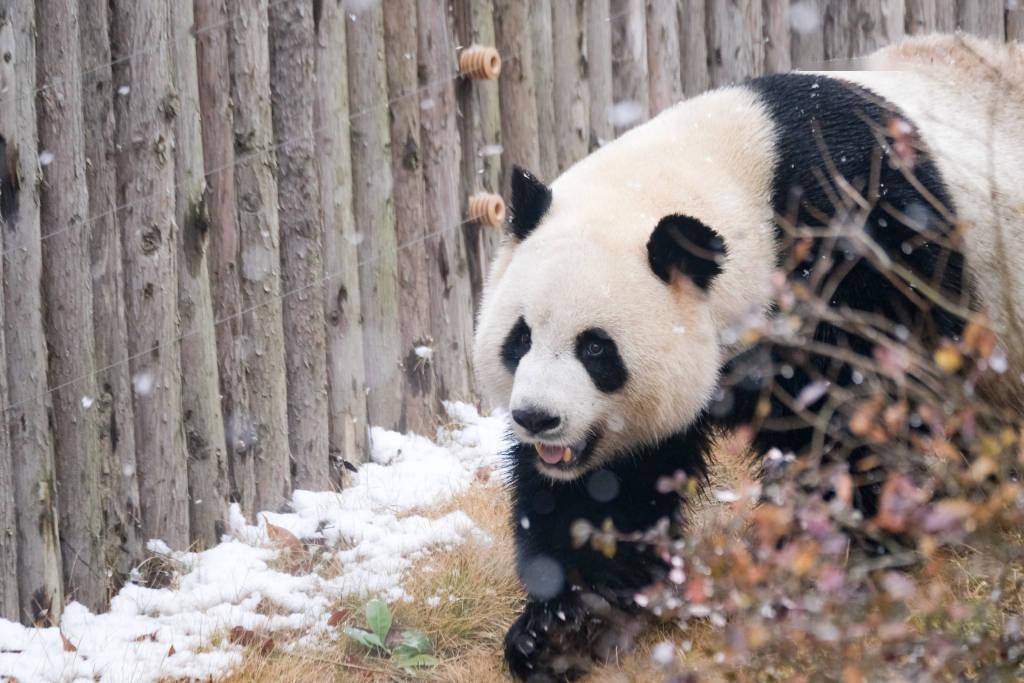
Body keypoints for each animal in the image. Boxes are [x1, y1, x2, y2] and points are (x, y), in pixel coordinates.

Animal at [471, 34, 1024, 679]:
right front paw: (565, 627)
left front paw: (819, 563)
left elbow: (849, 424)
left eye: (596, 348)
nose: (537, 418)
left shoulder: (862, 253)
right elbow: (609, 485)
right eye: (520, 338)